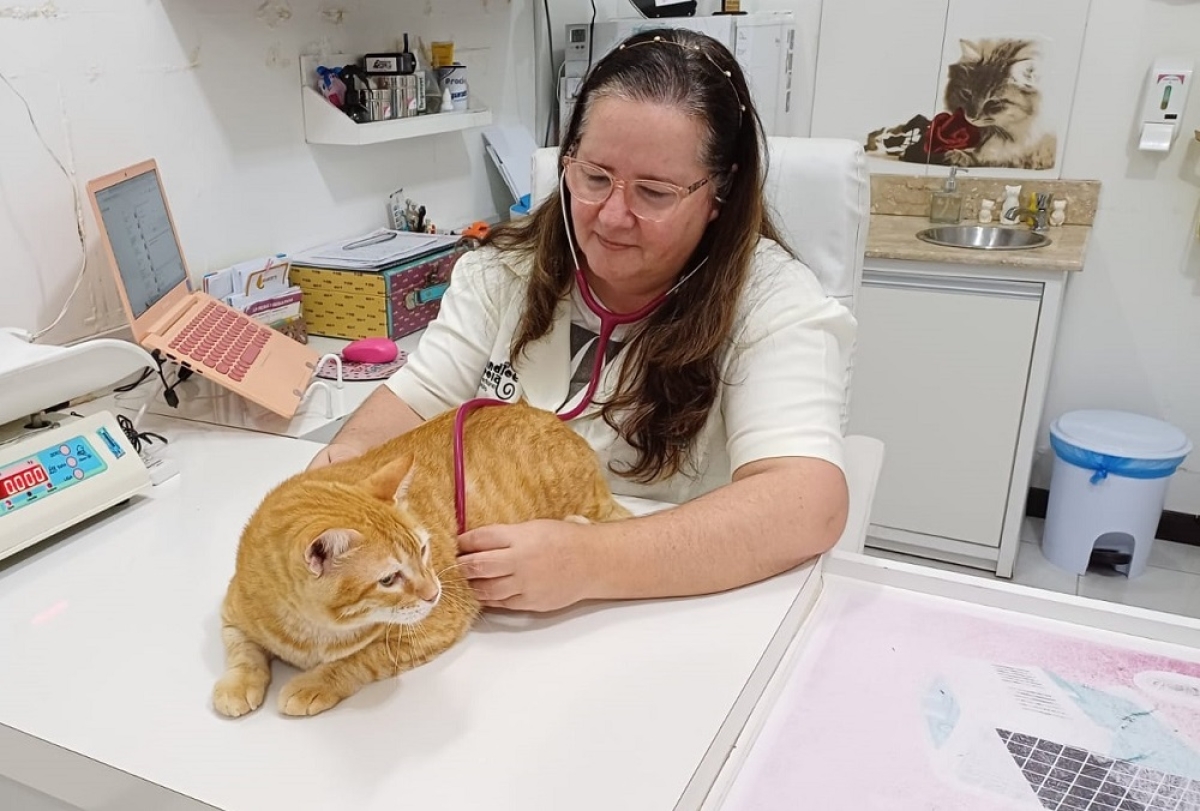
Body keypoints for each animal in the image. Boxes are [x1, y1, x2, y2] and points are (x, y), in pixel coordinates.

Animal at [212, 403, 628, 719]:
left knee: (611, 517)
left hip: (588, 503)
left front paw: (314, 683)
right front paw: (238, 684)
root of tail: (547, 415)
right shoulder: (232, 611)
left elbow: (361, 659)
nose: (433, 593)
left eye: (424, 551)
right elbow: (241, 650)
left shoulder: (434, 625)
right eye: (388, 579)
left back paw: (576, 524)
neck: (313, 631)